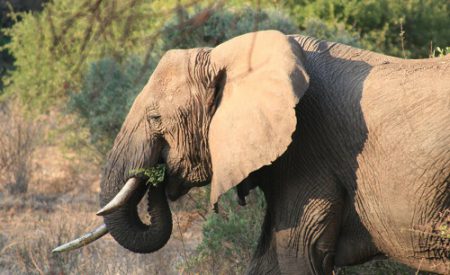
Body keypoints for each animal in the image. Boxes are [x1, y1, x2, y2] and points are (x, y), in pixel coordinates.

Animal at [56, 31, 450, 274]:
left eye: (156, 119)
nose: (156, 175)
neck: (227, 57)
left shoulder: (308, 151)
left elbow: (298, 254)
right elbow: (269, 261)